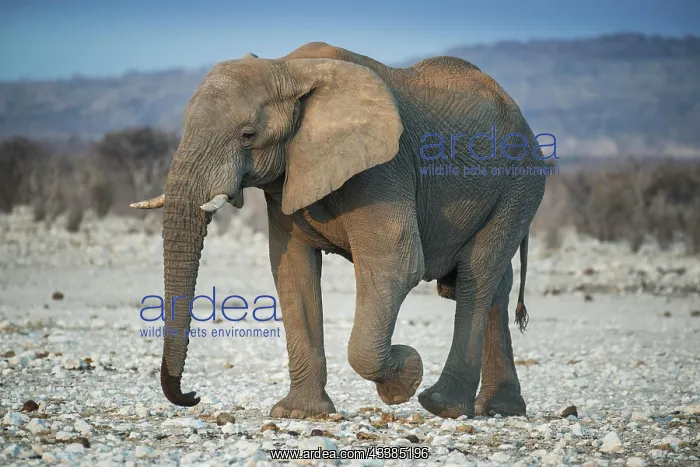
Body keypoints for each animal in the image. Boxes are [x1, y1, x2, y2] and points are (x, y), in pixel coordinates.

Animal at [131, 42, 547, 419]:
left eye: (247, 134)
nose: (193, 395)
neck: (288, 67)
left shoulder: (384, 166)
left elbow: (396, 263)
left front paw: (405, 377)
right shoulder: (290, 175)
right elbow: (292, 270)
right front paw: (299, 414)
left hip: (520, 186)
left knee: (478, 276)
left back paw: (442, 405)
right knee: (497, 285)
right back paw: (500, 409)